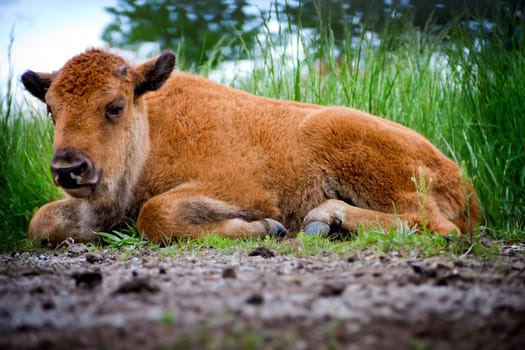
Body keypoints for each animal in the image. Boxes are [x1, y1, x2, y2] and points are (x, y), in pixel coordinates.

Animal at [21, 49, 478, 243]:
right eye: (51, 110)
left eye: (114, 106)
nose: (68, 169)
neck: (151, 128)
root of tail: (462, 180)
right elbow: (40, 220)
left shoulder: (246, 190)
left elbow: (156, 212)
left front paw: (266, 228)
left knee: (433, 223)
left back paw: (322, 219)